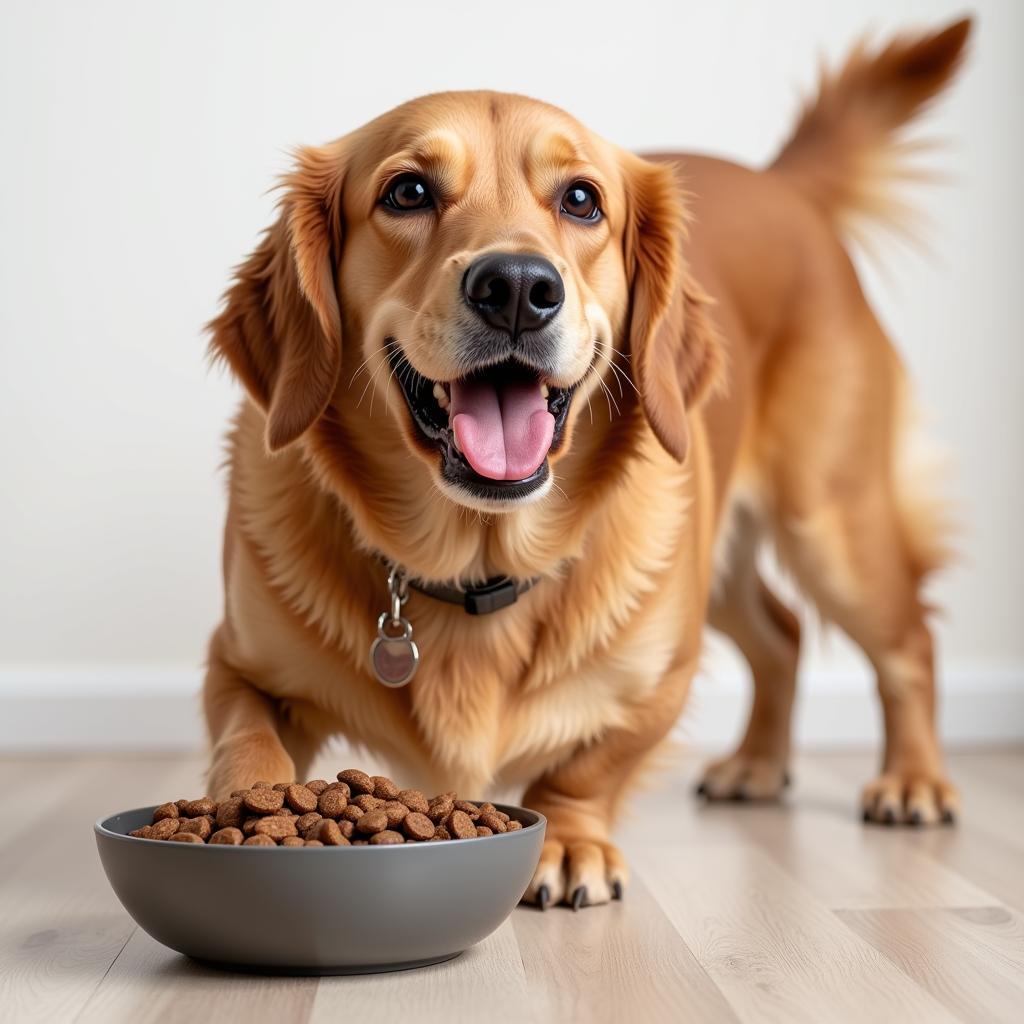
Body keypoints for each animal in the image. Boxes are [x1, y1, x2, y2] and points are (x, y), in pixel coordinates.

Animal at [205, 19, 966, 909]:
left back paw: (913, 780)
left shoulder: (660, 671)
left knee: (909, 643)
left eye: (580, 200)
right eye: (408, 192)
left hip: (829, 523)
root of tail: (782, 187)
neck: (475, 563)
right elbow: (247, 738)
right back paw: (756, 764)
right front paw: (242, 812)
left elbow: (589, 764)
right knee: (782, 632)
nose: (515, 286)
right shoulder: (236, 661)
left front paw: (566, 838)